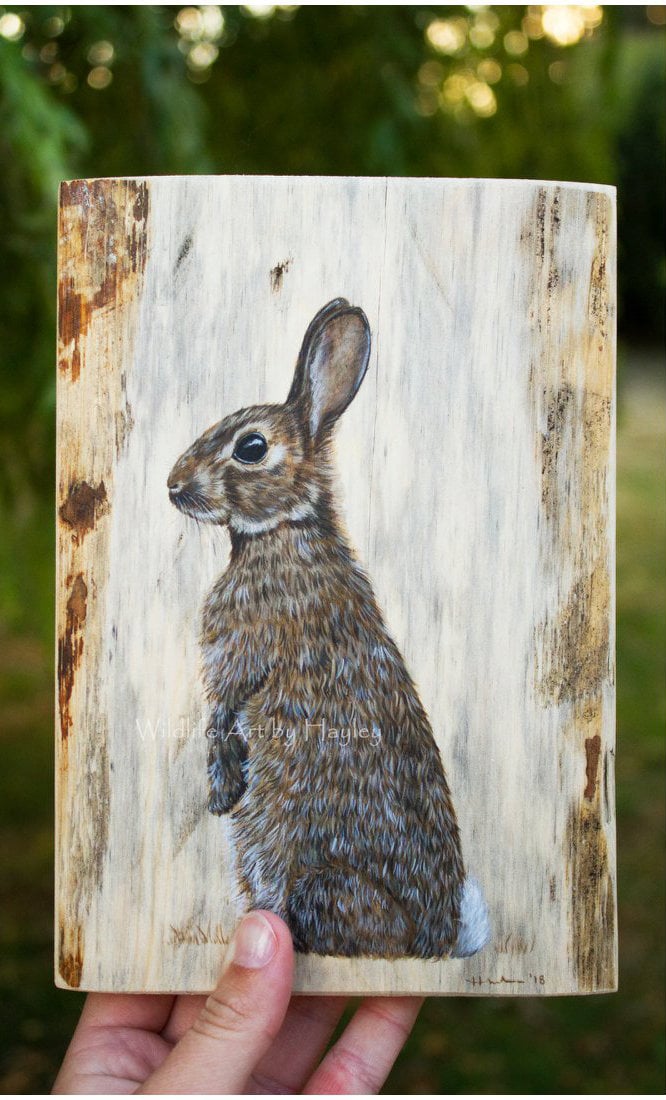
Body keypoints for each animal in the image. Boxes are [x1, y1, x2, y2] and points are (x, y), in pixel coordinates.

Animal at [167, 299, 490, 958]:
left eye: (251, 447)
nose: (173, 487)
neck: (281, 531)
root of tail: (434, 940)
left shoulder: (245, 657)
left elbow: (226, 714)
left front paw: (221, 791)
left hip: (321, 886)